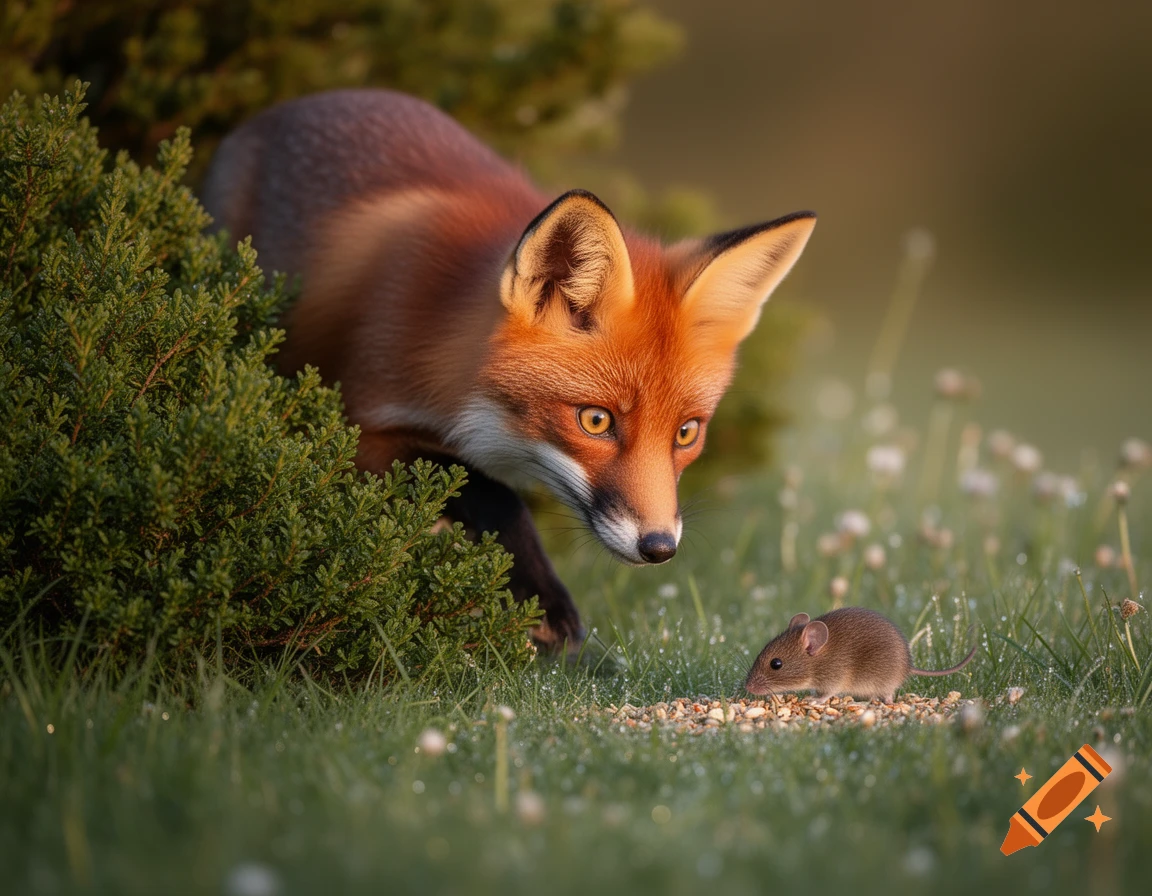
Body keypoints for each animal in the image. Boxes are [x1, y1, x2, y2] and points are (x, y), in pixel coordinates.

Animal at [201, 89, 815, 650]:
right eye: (595, 420)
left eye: (686, 433)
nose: (659, 547)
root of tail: (292, 106)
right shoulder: (356, 425)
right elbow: (491, 491)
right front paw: (543, 600)